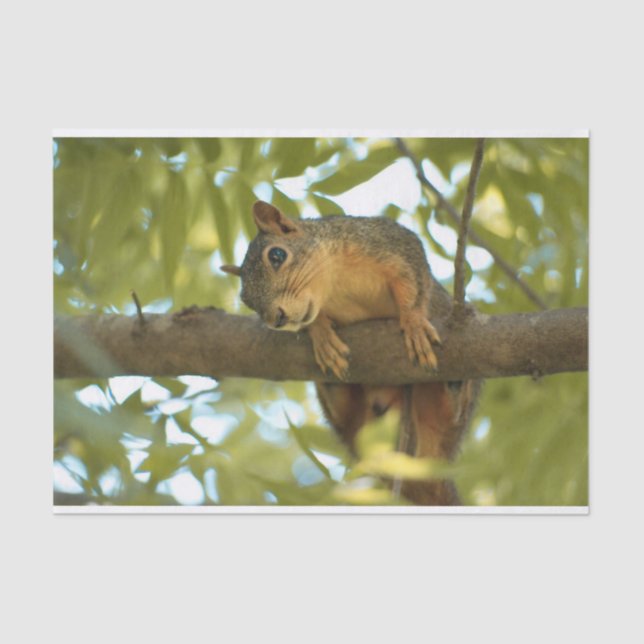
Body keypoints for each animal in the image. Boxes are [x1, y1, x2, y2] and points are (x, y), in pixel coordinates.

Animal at [221, 200, 481, 505]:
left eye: (276, 255)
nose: (277, 319)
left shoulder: (391, 242)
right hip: (358, 426)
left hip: (451, 416)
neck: (334, 285)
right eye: (246, 300)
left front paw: (414, 322)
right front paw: (321, 333)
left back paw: (454, 385)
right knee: (345, 410)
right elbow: (314, 321)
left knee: (450, 414)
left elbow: (413, 284)